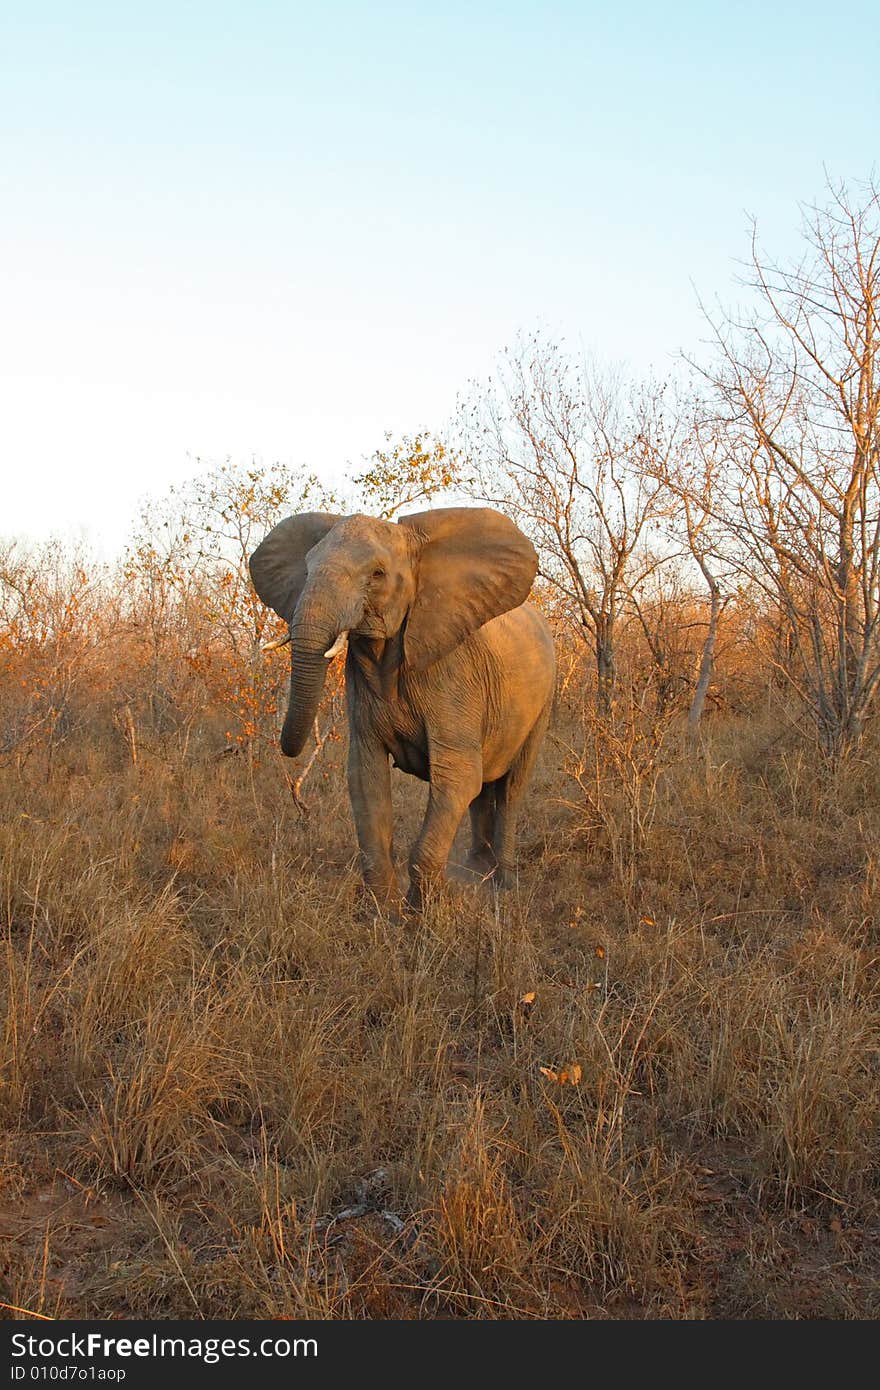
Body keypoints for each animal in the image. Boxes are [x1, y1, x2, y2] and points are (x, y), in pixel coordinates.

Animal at [247, 508, 553, 911]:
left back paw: (503, 885)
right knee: (484, 788)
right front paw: (381, 912)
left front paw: (421, 914)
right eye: (307, 568)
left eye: (377, 574)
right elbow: (365, 776)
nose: (288, 751)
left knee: (512, 788)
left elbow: (457, 776)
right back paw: (476, 873)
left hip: (543, 702)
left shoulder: (453, 673)